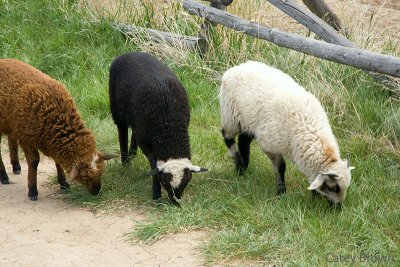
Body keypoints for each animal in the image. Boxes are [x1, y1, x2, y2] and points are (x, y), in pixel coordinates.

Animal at [0, 58, 114, 201]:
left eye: (102, 171)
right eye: (84, 176)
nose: (97, 192)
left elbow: (57, 161)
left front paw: (63, 183)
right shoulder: (26, 136)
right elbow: (34, 162)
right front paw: (32, 190)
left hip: (10, 123)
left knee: (11, 139)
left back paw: (15, 166)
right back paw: (3, 176)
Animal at [110, 51, 209, 205]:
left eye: (186, 182)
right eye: (165, 183)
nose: (175, 203)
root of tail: (129, 53)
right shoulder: (145, 142)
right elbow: (153, 166)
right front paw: (156, 195)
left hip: (137, 120)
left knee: (134, 131)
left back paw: (132, 154)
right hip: (117, 110)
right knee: (122, 131)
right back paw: (126, 161)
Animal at [220, 61, 354, 205]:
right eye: (333, 187)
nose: (338, 207)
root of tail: (237, 67)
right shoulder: (270, 145)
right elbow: (281, 167)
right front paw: (281, 192)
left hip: (250, 122)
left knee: (243, 141)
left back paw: (244, 167)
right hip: (230, 115)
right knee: (228, 137)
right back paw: (239, 165)